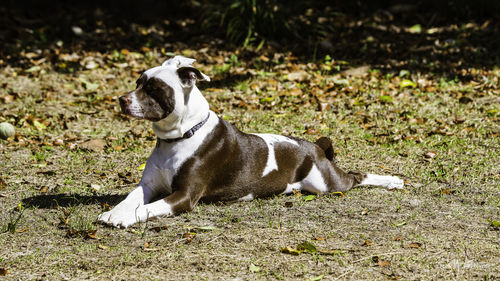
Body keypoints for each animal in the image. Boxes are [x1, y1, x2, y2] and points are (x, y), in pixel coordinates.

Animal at [96, 56, 402, 228]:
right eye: (138, 82)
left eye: (154, 88)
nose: (121, 99)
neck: (179, 137)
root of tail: (314, 148)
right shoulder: (148, 185)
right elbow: (131, 198)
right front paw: (115, 212)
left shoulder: (183, 196)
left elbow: (149, 208)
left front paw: (124, 218)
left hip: (327, 184)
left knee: (356, 176)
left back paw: (392, 180)